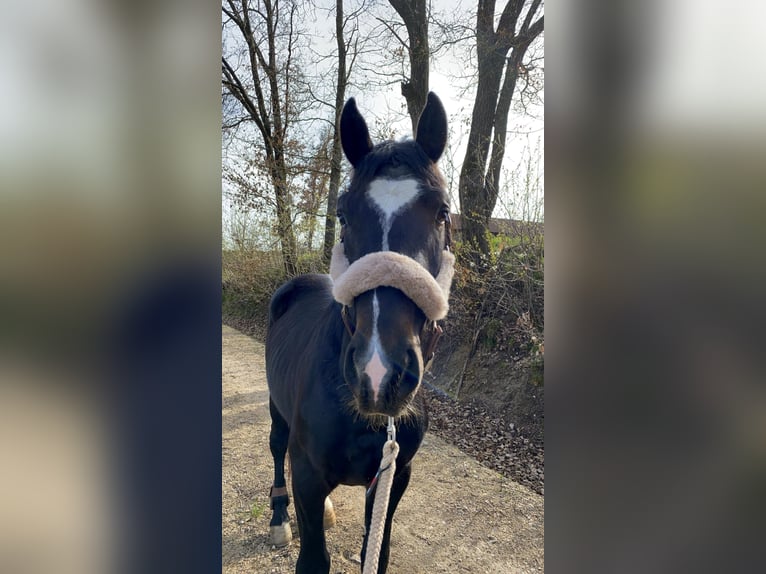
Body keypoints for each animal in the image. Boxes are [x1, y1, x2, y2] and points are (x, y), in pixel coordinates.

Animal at [268, 92, 452, 572]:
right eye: (343, 213)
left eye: (442, 212)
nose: (378, 372)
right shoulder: (308, 476)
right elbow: (313, 560)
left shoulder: (393, 477)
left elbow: (378, 553)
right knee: (277, 450)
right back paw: (278, 518)